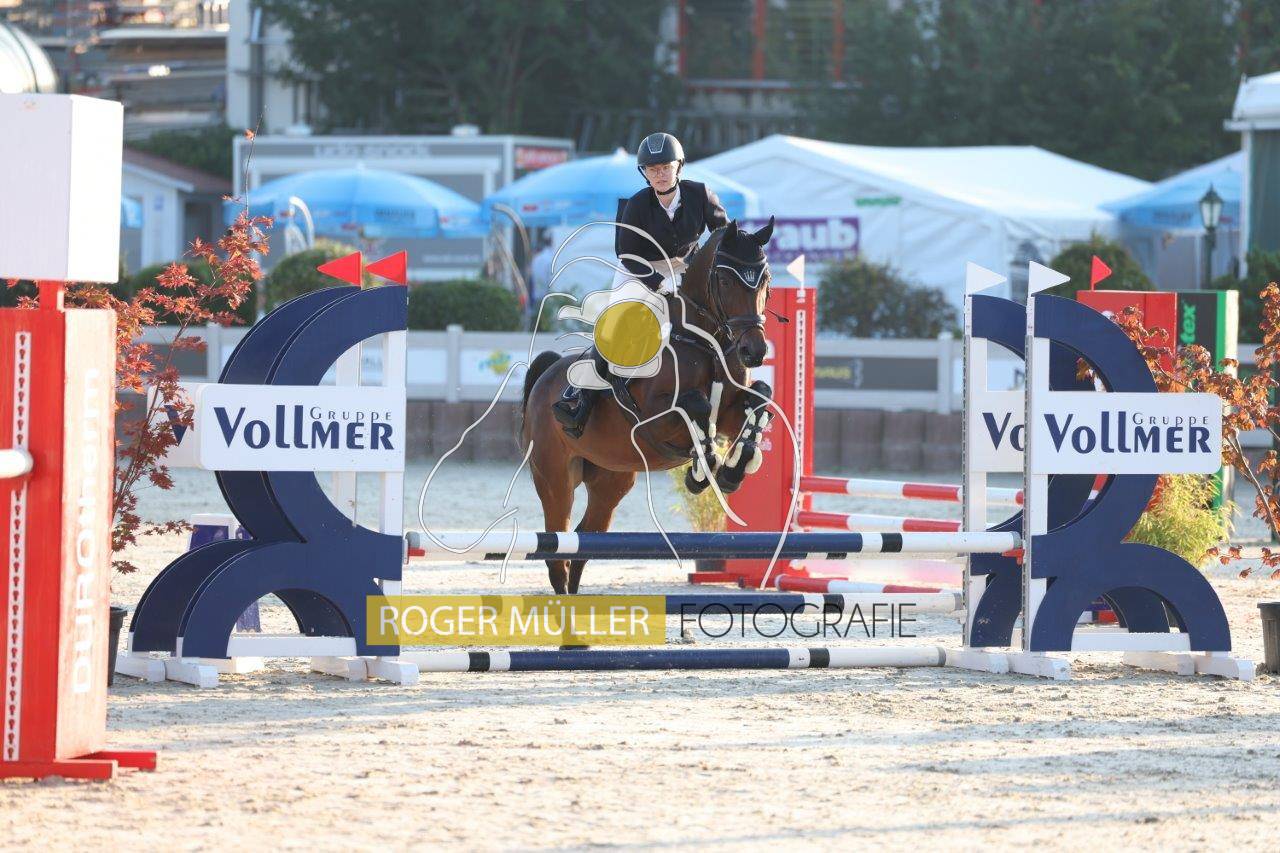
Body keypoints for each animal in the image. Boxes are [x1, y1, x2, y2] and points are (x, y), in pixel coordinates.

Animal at [521, 219, 776, 594]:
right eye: (726, 281)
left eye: (765, 280)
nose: (754, 351)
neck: (706, 341)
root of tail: (546, 375)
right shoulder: (654, 421)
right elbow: (697, 406)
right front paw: (701, 473)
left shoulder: (730, 412)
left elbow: (759, 396)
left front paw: (733, 470)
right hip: (554, 477)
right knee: (558, 544)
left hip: (611, 479)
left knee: (583, 540)